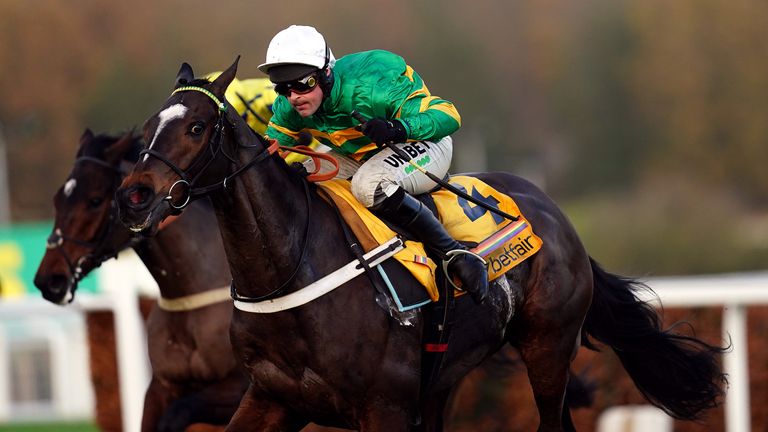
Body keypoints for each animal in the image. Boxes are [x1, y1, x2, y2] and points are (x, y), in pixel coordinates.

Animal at [33, 130, 246, 430]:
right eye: (57, 200)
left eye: (95, 200)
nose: (49, 280)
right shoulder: (160, 386)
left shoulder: (244, 386)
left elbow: (178, 413)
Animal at [115, 59, 728, 430]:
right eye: (146, 128)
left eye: (196, 127)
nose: (134, 196)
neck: (292, 271)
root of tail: (550, 209)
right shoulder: (268, 396)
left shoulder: (382, 407)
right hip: (445, 379)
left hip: (548, 347)